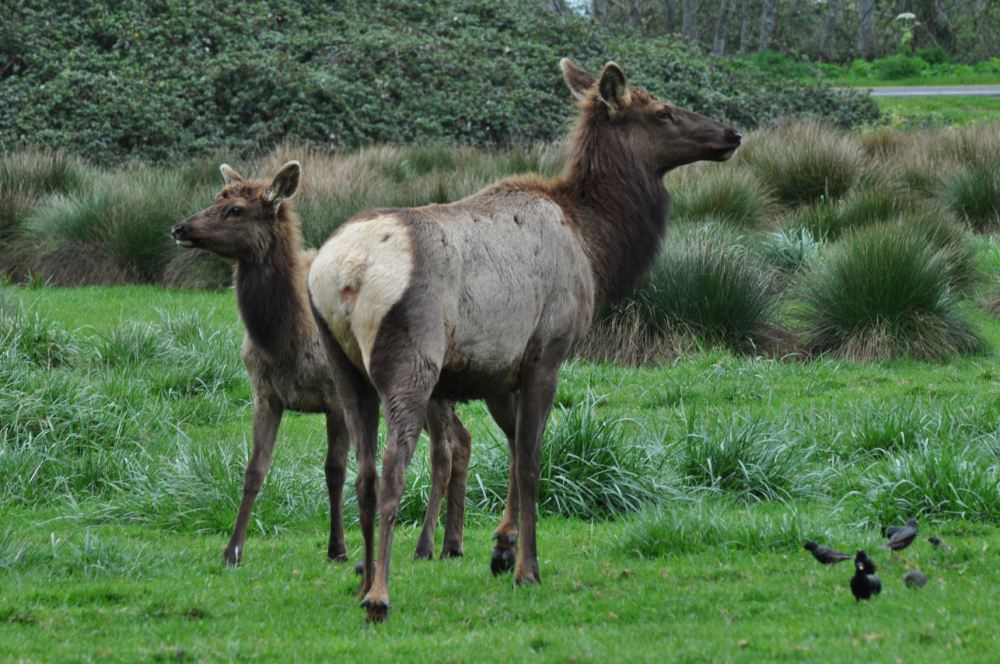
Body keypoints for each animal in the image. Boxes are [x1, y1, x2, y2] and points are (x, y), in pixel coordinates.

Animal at [169, 161, 472, 567]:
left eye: (236, 209)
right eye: (216, 197)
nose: (180, 228)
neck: (286, 342)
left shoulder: (334, 395)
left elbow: (335, 470)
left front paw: (338, 548)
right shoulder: (265, 394)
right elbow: (254, 470)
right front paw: (232, 551)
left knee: (444, 450)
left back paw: (425, 546)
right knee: (463, 438)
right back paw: (452, 544)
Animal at [307, 58, 742, 622]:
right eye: (664, 111)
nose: (731, 133)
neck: (595, 248)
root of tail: (345, 272)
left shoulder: (497, 369)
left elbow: (513, 449)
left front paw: (502, 545)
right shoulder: (547, 353)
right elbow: (533, 461)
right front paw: (526, 568)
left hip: (343, 365)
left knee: (362, 472)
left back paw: (363, 581)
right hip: (411, 358)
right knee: (391, 469)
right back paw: (380, 594)